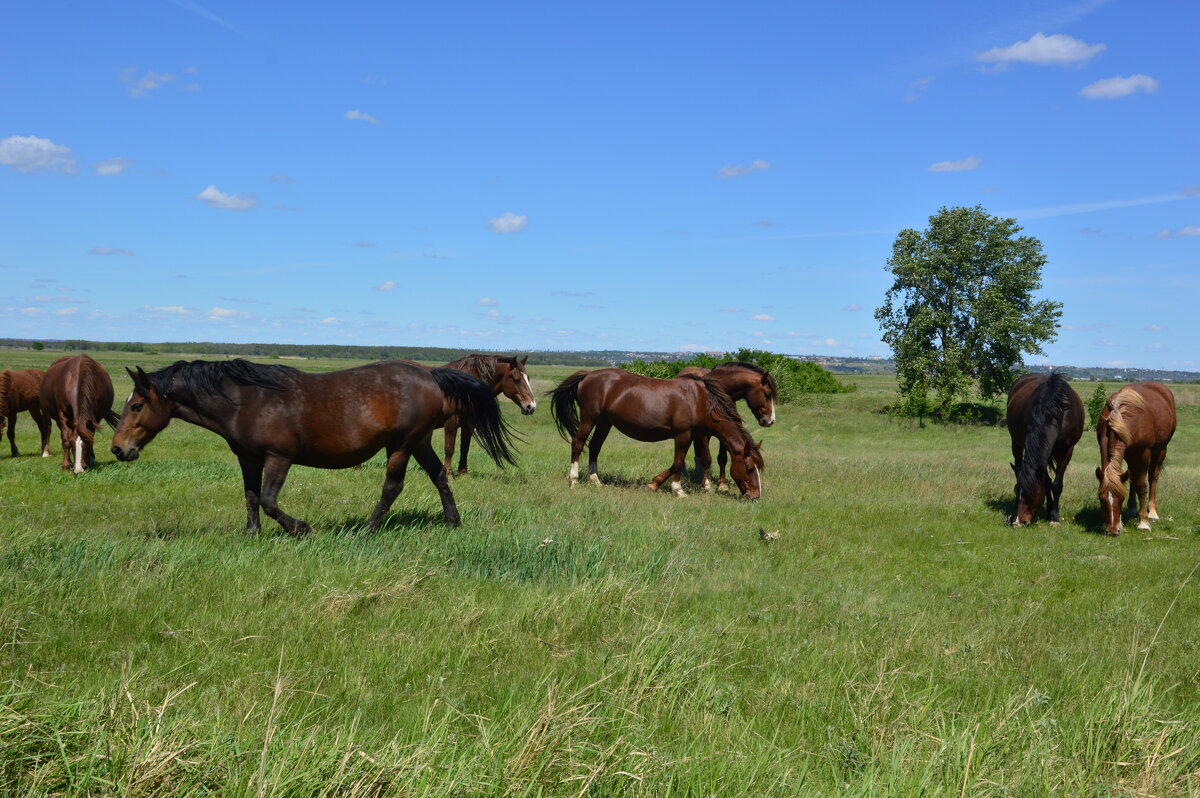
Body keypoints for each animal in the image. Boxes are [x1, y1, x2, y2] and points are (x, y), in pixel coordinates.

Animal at [113, 355, 520, 532]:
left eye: (136, 405)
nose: (118, 448)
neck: (247, 400)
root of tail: (431, 375)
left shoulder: (279, 457)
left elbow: (268, 500)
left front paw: (300, 528)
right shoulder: (248, 458)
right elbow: (250, 497)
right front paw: (251, 533)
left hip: (402, 444)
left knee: (392, 487)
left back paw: (367, 528)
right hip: (419, 441)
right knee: (439, 475)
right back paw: (453, 521)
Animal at [549, 369, 763, 499]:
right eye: (749, 469)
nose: (755, 496)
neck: (699, 401)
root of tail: (588, 374)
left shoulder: (695, 435)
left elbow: (684, 462)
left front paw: (654, 484)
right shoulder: (683, 435)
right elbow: (679, 462)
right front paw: (678, 490)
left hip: (604, 423)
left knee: (594, 447)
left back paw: (596, 481)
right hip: (589, 419)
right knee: (577, 444)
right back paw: (574, 480)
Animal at [1003, 372, 1089, 523]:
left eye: (1032, 493)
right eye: (1015, 489)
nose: (1019, 521)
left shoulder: (1067, 449)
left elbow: (1056, 485)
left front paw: (1054, 516)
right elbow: (1047, 482)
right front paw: (1050, 511)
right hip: (1016, 443)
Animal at [1094, 381, 1176, 535]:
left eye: (1121, 499)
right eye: (1102, 499)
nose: (1112, 531)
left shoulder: (1144, 453)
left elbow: (1141, 486)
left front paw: (1143, 522)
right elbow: (1129, 479)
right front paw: (1120, 522)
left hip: (1161, 450)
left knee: (1153, 477)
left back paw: (1152, 513)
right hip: (1131, 455)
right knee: (1132, 475)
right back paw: (1132, 508)